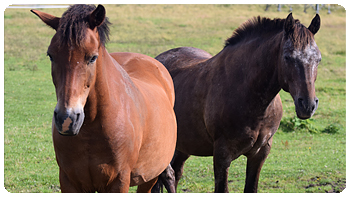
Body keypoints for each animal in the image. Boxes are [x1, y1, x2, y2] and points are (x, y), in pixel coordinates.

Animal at [31, 4, 176, 192]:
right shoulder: (68, 180)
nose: (67, 119)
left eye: (93, 57)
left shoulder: (119, 181)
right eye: (51, 55)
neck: (92, 128)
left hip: (150, 175)